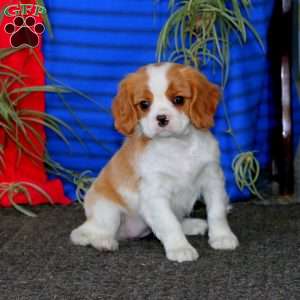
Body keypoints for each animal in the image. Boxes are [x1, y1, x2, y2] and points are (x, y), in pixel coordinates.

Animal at [71, 62, 239, 262]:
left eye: (178, 99)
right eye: (144, 104)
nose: (162, 118)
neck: (177, 144)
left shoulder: (212, 181)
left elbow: (217, 212)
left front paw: (222, 237)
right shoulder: (155, 194)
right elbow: (169, 222)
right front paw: (180, 248)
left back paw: (191, 225)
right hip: (107, 210)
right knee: (93, 231)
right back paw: (103, 241)